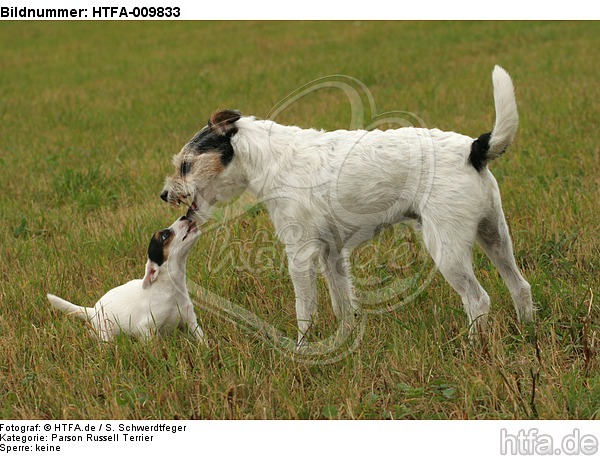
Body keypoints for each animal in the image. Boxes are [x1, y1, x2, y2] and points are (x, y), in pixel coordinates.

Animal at [45, 217, 204, 342]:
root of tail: (92, 310)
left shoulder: (190, 320)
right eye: (164, 235)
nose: (185, 216)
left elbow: (201, 337)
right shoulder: (146, 328)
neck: (170, 288)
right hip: (106, 333)